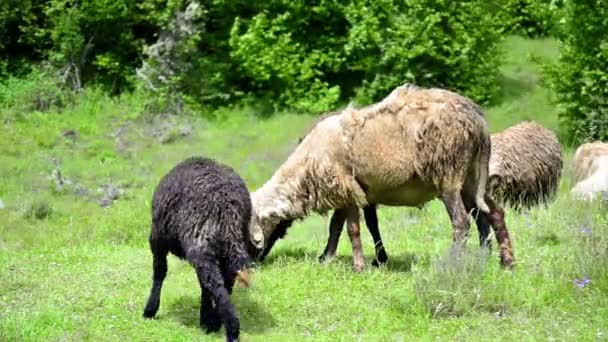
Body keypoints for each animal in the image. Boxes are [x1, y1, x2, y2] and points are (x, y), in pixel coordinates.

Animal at [145, 156, 266, 342]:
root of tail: (227, 208)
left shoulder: (157, 239)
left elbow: (159, 272)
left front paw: (150, 310)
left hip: (200, 240)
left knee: (214, 281)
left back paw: (230, 329)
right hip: (230, 244)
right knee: (224, 280)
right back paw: (216, 321)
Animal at [252, 83, 512, 270]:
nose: (253, 264)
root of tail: (477, 120)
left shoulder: (347, 188)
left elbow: (352, 229)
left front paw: (358, 266)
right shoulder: (348, 190)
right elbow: (338, 226)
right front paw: (328, 258)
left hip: (448, 174)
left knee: (461, 221)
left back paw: (454, 262)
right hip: (471, 175)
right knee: (491, 213)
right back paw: (501, 261)